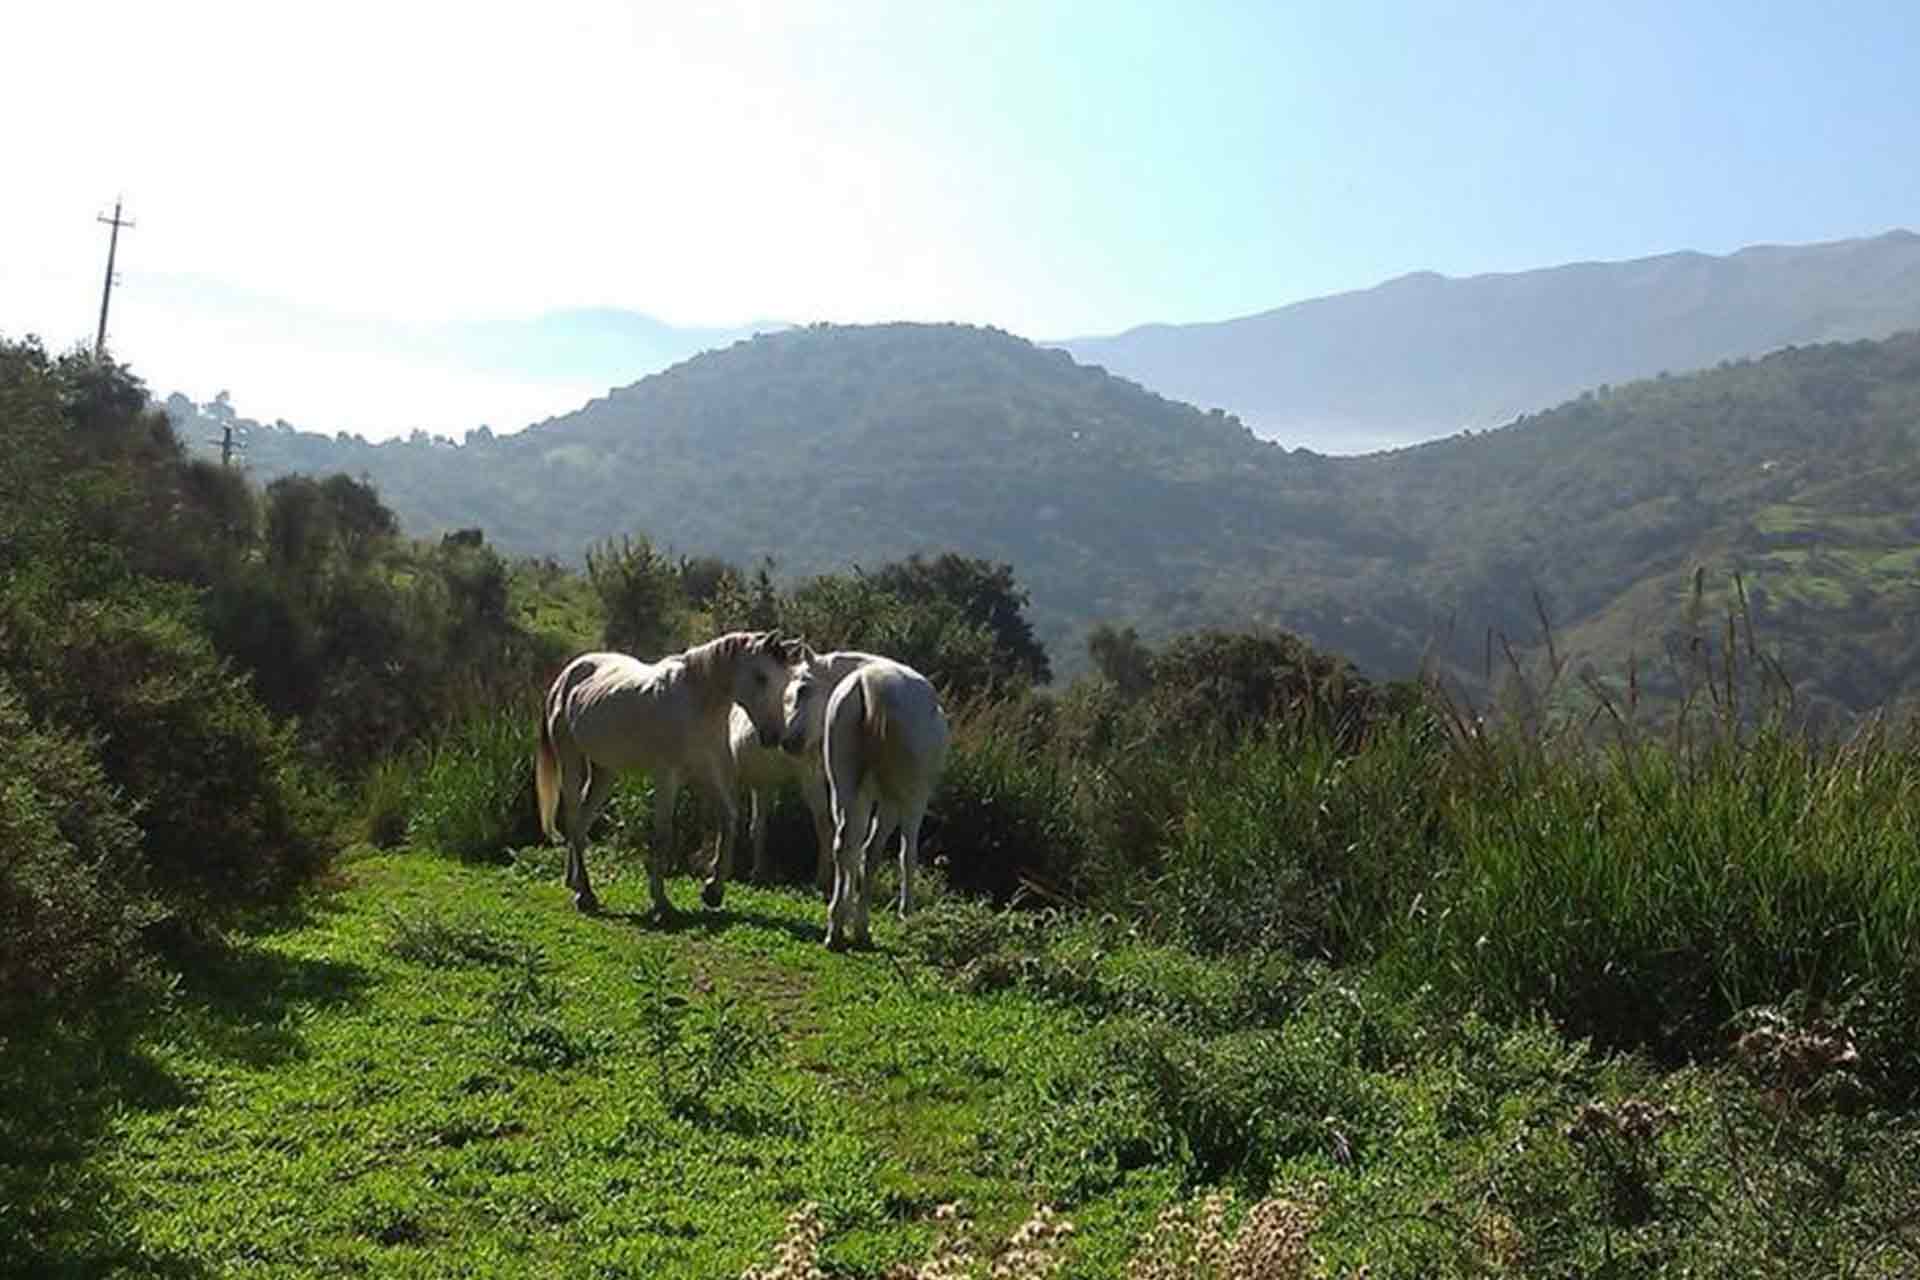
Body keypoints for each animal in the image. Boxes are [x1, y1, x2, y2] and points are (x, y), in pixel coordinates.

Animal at [533, 629, 802, 909]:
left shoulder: (707, 774)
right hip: (570, 759)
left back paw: (574, 882)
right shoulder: (667, 777)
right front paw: (661, 900)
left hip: (604, 771)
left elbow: (728, 820)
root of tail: (567, 674)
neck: (697, 702)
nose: (774, 736)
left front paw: (713, 891)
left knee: (582, 824)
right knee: (574, 820)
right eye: (761, 677)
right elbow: (663, 835)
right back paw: (585, 893)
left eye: (785, 682)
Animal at [783, 656, 948, 948]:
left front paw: (847, 909)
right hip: (902, 797)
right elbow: (898, 854)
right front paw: (904, 911)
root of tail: (869, 682)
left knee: (844, 844)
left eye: (804, 689)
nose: (788, 742)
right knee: (881, 850)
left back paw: (836, 927)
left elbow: (855, 851)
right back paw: (862, 927)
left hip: (848, 789)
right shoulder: (899, 801)